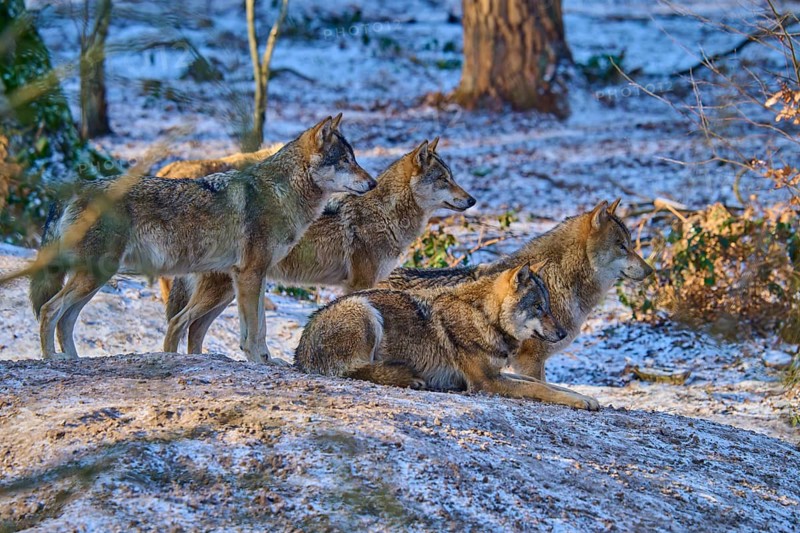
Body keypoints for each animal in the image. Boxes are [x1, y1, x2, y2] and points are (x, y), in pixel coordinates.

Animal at [29, 114, 376, 363]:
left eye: (354, 159)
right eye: (345, 161)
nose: (373, 183)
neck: (280, 194)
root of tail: (74, 190)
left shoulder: (254, 275)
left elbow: (258, 326)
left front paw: (266, 361)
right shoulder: (250, 274)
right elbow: (253, 331)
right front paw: (258, 361)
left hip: (99, 277)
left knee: (65, 319)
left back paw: (73, 360)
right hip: (98, 275)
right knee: (49, 310)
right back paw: (51, 360)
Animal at [162, 137, 476, 354]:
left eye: (452, 178)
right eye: (444, 179)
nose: (472, 200)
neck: (384, 213)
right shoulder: (359, 283)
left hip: (229, 292)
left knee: (194, 329)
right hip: (224, 290)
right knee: (178, 323)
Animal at [295, 261, 600, 410]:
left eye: (547, 306)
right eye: (538, 307)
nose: (562, 333)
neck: (485, 318)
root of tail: (300, 352)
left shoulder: (497, 372)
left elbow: (544, 384)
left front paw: (585, 397)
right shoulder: (486, 382)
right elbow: (539, 388)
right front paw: (580, 402)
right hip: (366, 310)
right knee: (356, 372)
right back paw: (411, 379)